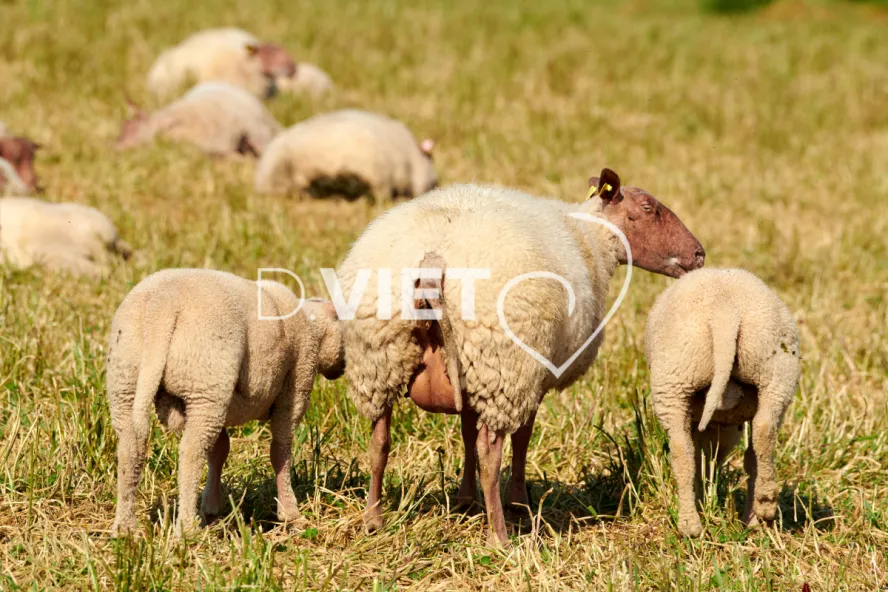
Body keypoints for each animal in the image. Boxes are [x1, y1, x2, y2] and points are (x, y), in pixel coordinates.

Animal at [107, 269, 344, 536]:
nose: (342, 369)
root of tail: (163, 304)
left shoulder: (223, 396)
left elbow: (220, 449)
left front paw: (211, 508)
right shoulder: (295, 385)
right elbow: (280, 451)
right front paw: (290, 514)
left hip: (129, 377)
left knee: (130, 447)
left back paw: (125, 527)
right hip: (205, 379)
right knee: (191, 452)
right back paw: (187, 530)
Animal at [336, 168, 706, 545]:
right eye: (648, 207)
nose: (699, 254)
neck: (591, 239)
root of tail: (434, 261)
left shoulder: (472, 374)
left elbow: (466, 432)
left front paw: (466, 500)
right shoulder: (532, 376)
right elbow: (522, 438)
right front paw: (517, 502)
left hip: (382, 359)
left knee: (379, 441)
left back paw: (373, 520)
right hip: (504, 368)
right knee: (490, 452)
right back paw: (499, 536)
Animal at [644, 268, 801, 538]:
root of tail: (725, 310)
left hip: (674, 379)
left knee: (682, 452)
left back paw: (690, 525)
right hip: (775, 369)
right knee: (763, 431)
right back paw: (762, 508)